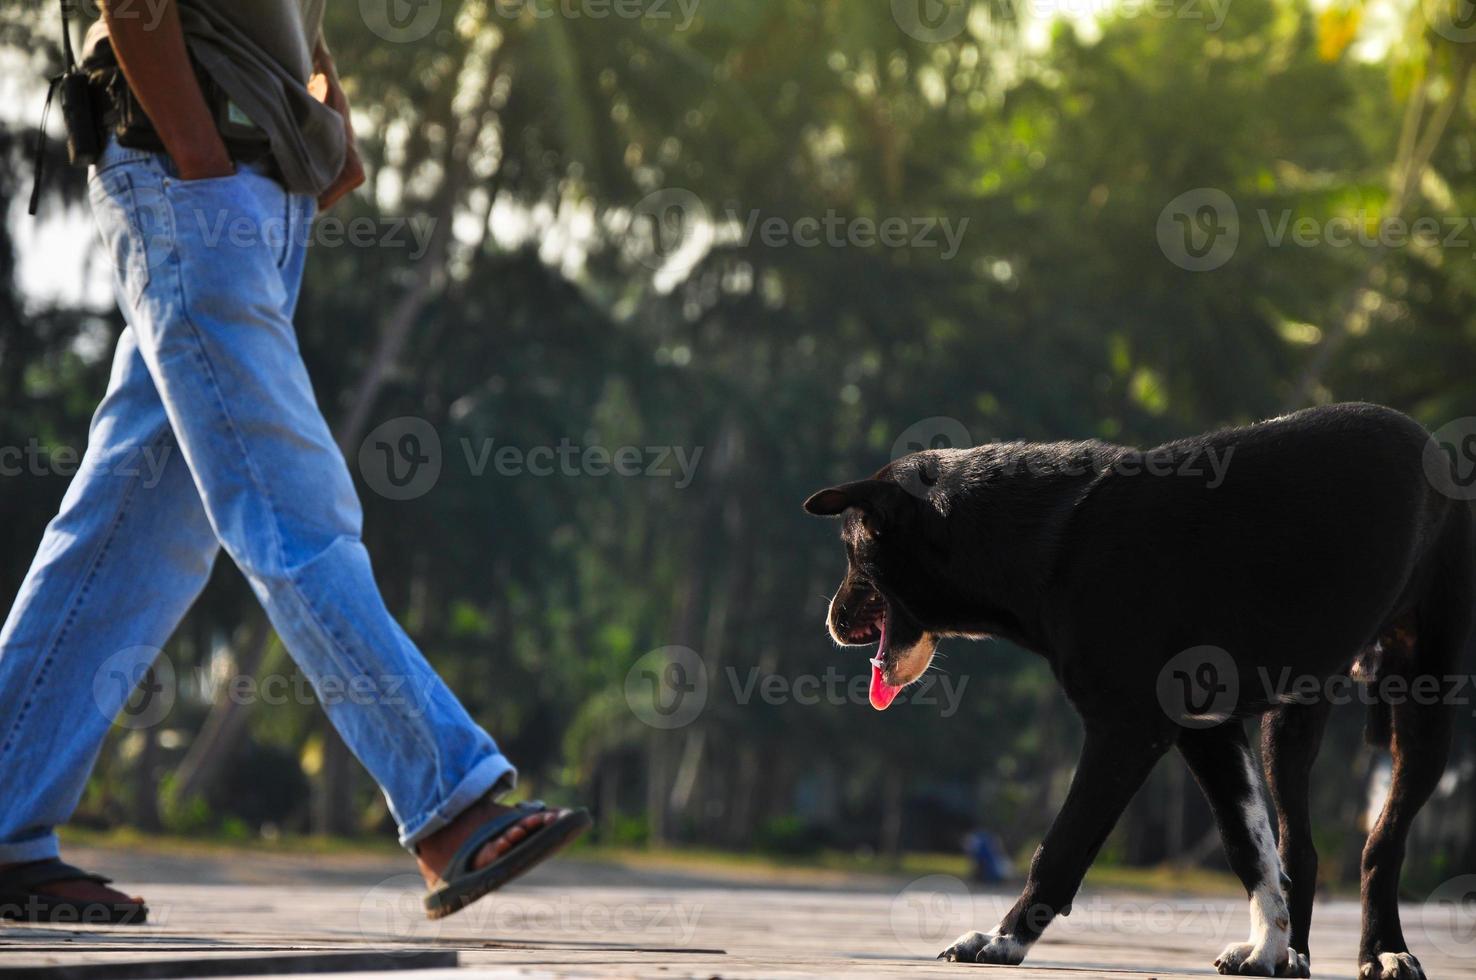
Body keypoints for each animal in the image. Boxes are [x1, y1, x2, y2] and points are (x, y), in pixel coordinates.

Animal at [808, 401, 1476, 974]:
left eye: (852, 550)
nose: (831, 622)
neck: (1048, 539)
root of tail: (1427, 440)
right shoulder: (1207, 731)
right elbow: (1250, 847)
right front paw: (1267, 947)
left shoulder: (1125, 731)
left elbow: (1061, 845)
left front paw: (1002, 940)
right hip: (1287, 722)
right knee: (1300, 847)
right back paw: (1296, 956)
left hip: (1424, 707)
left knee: (1382, 844)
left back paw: (1384, 952)